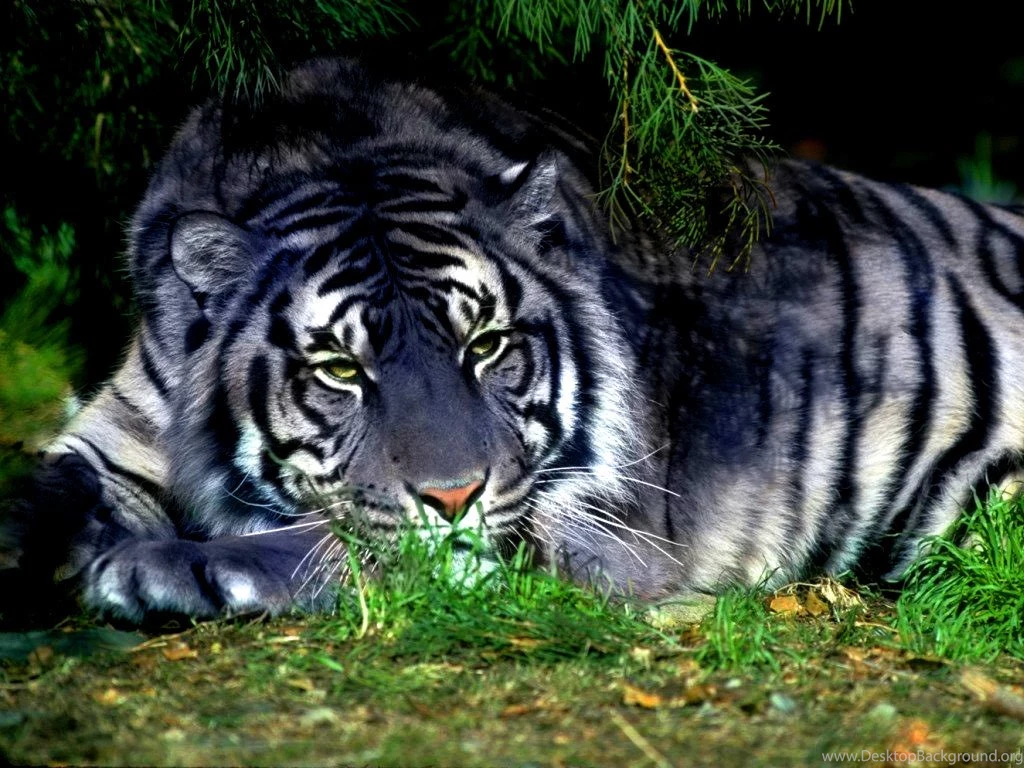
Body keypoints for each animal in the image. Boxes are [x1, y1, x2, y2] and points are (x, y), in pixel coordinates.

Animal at [5, 58, 1024, 624]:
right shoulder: (114, 434)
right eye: (339, 368)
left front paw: (159, 570)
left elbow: (343, 544)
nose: (454, 496)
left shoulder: (585, 525)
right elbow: (45, 490)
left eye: (487, 345)